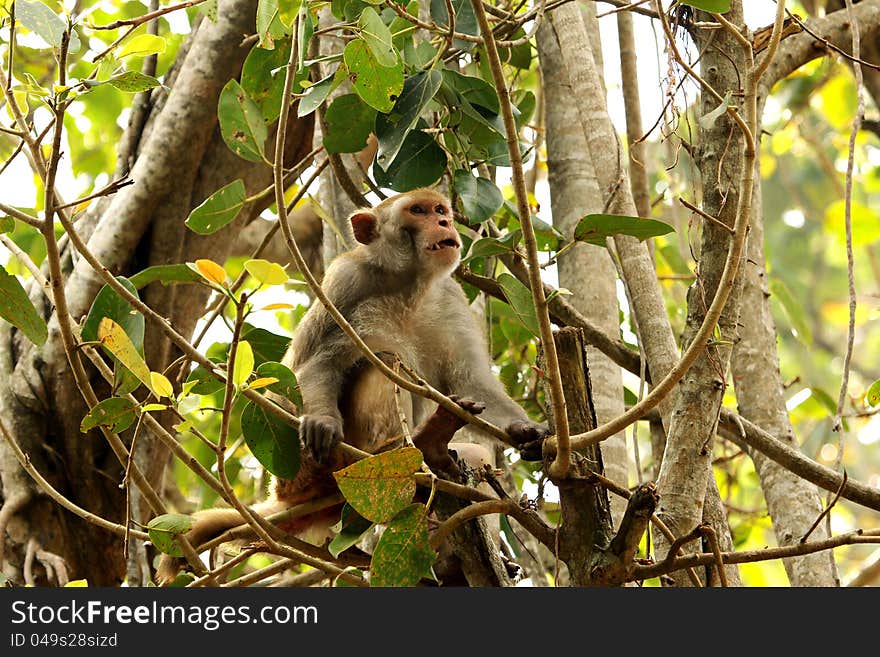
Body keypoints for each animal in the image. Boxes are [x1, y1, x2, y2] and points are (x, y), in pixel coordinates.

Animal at [155, 187, 548, 580]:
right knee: (386, 362)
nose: (443, 222)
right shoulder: (346, 280)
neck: (408, 284)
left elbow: (471, 385)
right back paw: (412, 446)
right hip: (312, 468)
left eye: (440, 209)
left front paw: (530, 431)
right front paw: (322, 420)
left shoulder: (450, 297)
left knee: (474, 455)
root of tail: (286, 495)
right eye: (418, 211)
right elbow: (317, 363)